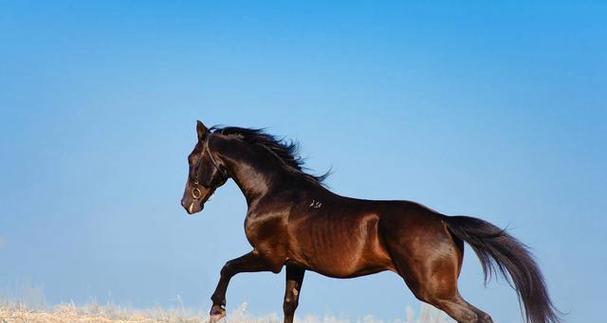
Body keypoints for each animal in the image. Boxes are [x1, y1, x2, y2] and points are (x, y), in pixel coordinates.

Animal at [179, 121, 560, 323]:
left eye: (192, 159)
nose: (187, 204)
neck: (274, 192)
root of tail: (444, 221)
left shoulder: (268, 257)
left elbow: (227, 267)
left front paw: (217, 309)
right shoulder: (294, 264)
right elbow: (289, 305)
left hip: (432, 289)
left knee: (476, 317)